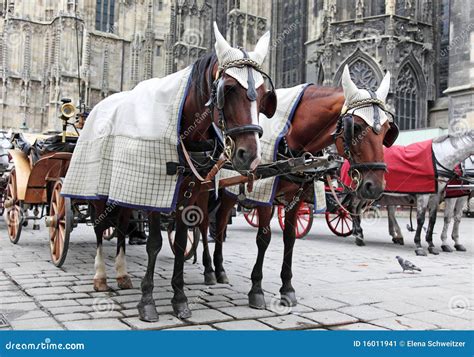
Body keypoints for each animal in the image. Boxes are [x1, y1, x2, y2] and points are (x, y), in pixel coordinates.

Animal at [75, 25, 278, 320]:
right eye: (227, 90)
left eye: (264, 96)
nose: (249, 155)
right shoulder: (154, 190)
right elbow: (154, 243)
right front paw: (147, 301)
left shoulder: (188, 193)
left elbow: (181, 242)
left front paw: (179, 298)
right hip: (99, 188)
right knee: (102, 228)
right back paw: (101, 277)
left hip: (123, 190)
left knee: (122, 226)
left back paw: (122, 274)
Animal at [202, 66, 398, 308]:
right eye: (357, 127)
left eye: (388, 129)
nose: (375, 186)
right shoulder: (264, 195)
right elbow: (263, 239)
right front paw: (256, 289)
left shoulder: (295, 200)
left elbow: (290, 239)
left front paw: (287, 288)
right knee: (210, 224)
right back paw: (210, 269)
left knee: (219, 225)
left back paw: (219, 269)